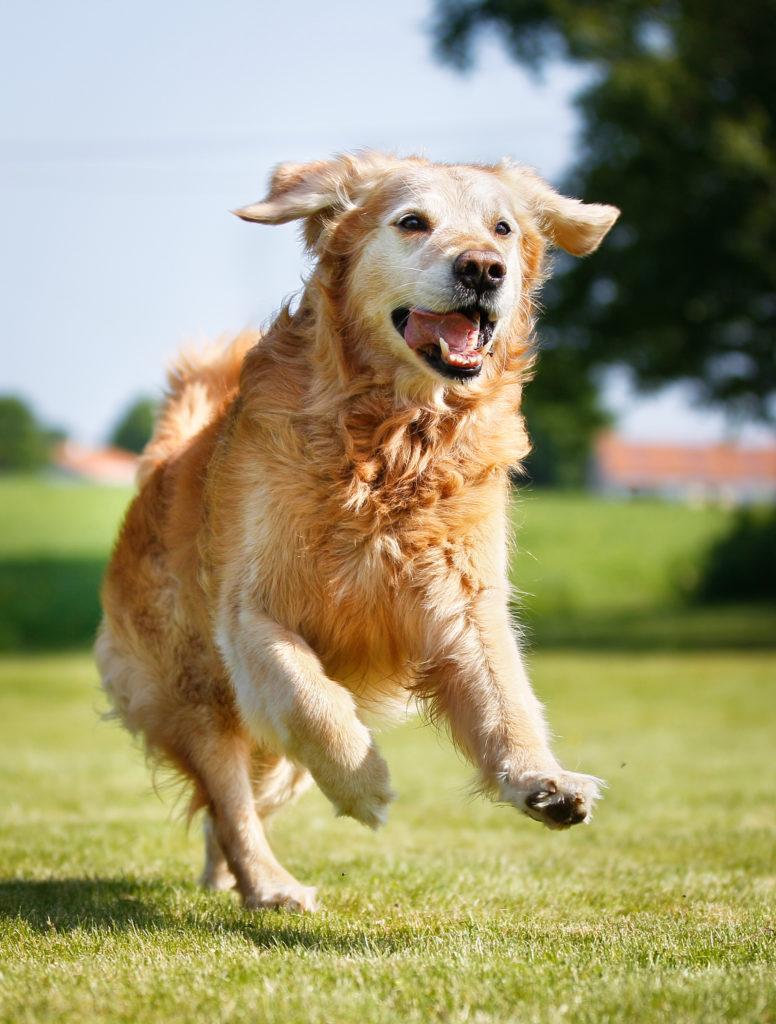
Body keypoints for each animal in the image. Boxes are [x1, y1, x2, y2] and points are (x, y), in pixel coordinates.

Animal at [95, 153, 618, 913]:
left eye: (503, 228)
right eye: (412, 222)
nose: (484, 269)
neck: (391, 445)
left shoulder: (463, 600)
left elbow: (505, 697)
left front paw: (542, 781)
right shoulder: (249, 614)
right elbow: (312, 698)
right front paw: (364, 782)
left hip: (270, 754)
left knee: (236, 807)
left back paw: (230, 877)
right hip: (195, 691)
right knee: (230, 797)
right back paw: (270, 884)